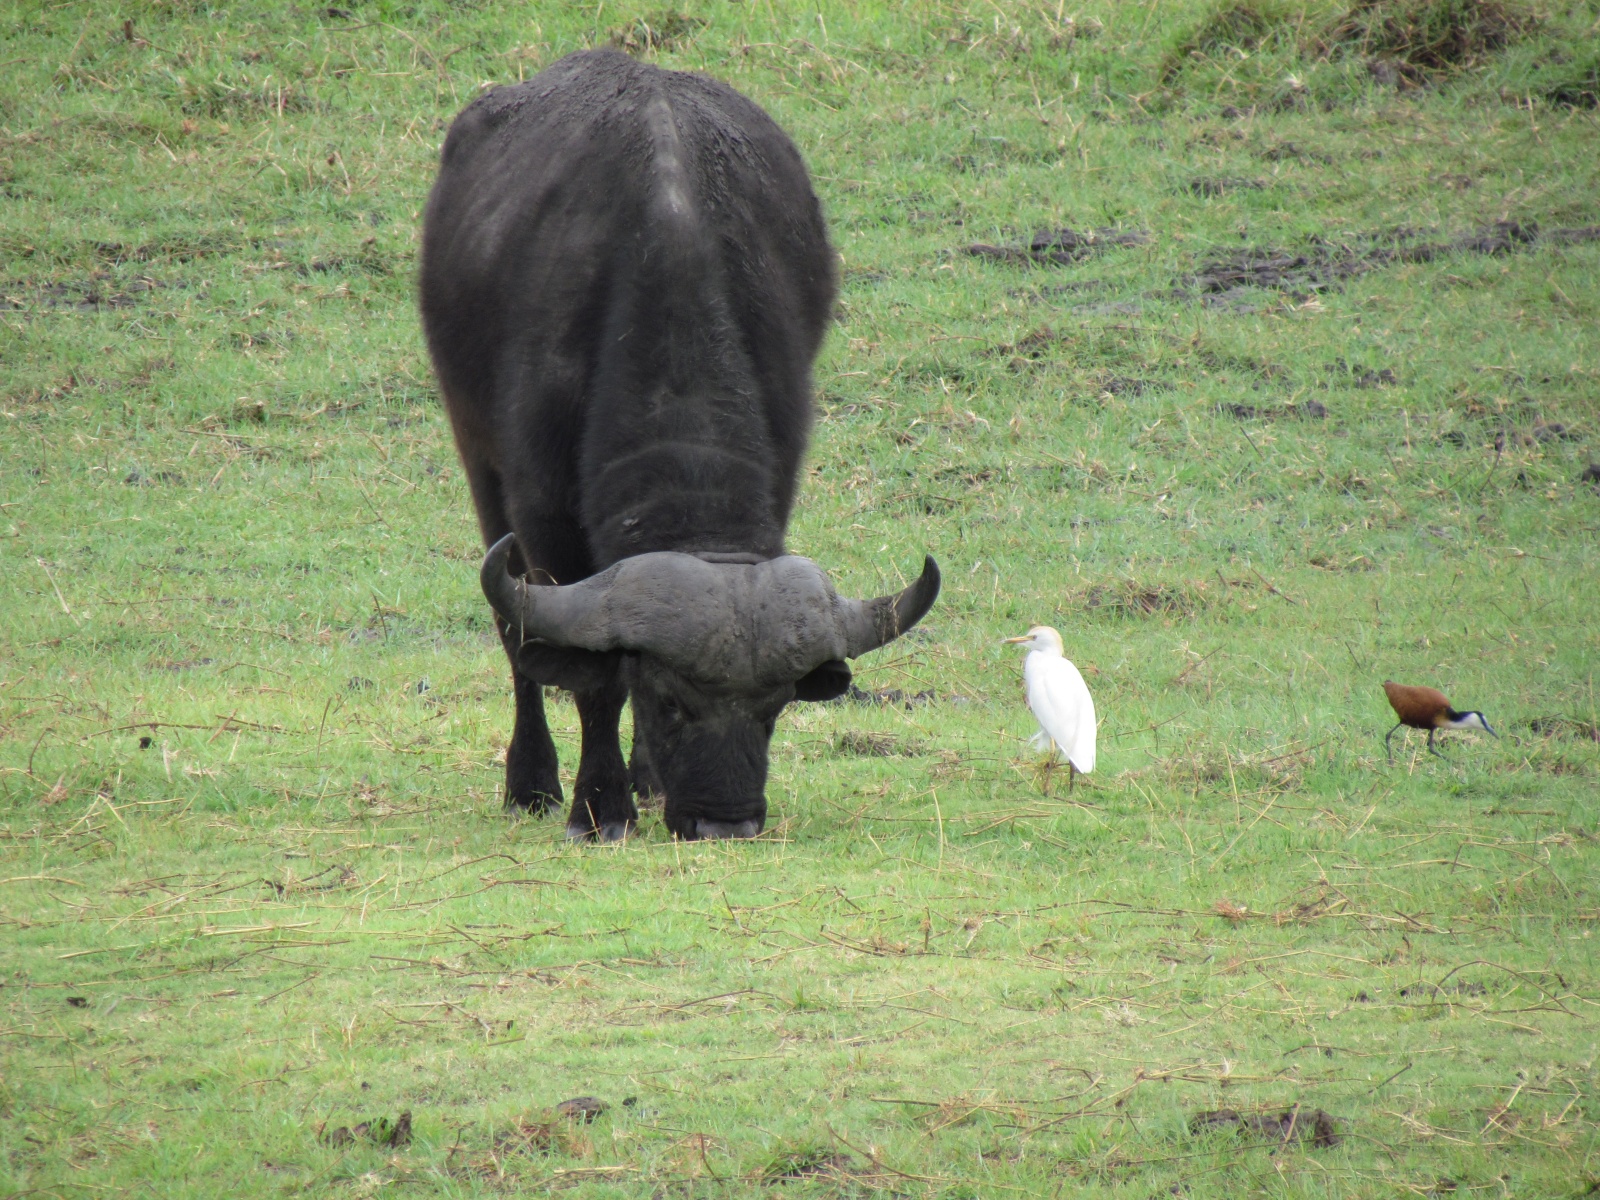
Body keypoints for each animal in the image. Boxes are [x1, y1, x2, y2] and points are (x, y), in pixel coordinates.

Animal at [419, 49, 938, 841]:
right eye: (668, 699)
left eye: (776, 706)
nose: (726, 823)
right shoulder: (541, 514)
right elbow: (588, 677)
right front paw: (599, 807)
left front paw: (641, 784)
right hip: (478, 456)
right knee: (519, 643)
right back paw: (532, 781)